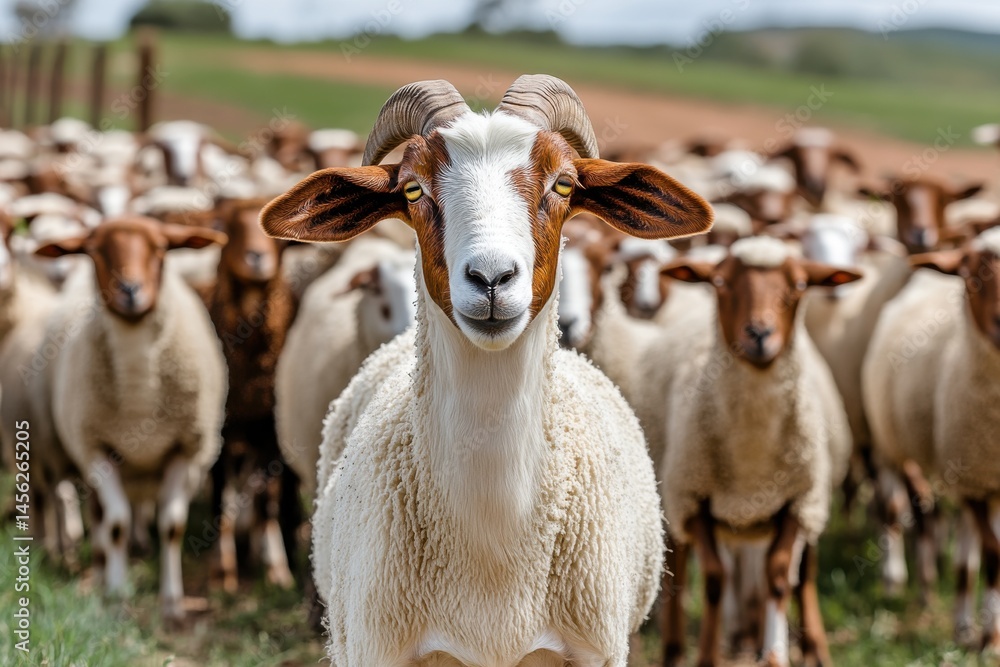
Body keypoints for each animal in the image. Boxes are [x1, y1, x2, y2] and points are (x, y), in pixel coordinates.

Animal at [33, 216, 227, 623]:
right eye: (94, 250)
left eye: (160, 247)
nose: (130, 290)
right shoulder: (96, 448)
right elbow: (117, 523)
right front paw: (117, 593)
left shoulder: (185, 449)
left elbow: (171, 526)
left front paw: (172, 603)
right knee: (101, 519)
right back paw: (100, 573)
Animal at [200, 198, 301, 592]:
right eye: (229, 228)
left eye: (280, 238)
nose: (256, 257)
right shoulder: (220, 434)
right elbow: (219, 501)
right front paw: (221, 572)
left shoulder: (271, 434)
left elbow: (267, 504)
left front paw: (277, 570)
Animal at [660, 235, 860, 666]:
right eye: (720, 282)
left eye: (799, 285)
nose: (759, 333)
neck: (752, 451)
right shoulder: (693, 498)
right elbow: (714, 578)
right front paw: (706, 657)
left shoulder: (799, 501)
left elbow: (781, 576)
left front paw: (776, 655)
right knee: (679, 564)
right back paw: (672, 647)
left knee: (806, 573)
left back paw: (815, 646)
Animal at [864, 226, 1000, 649]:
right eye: (971, 278)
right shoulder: (974, 478)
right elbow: (995, 555)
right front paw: (991, 637)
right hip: (896, 446)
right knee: (906, 510)